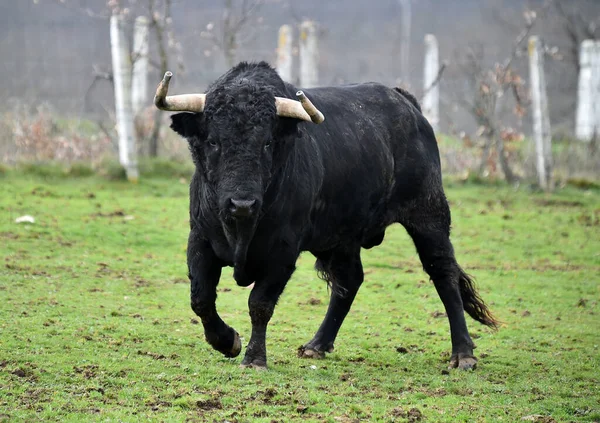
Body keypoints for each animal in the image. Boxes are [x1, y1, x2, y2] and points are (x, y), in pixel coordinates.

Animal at [159, 62, 496, 372]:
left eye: (267, 142)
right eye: (213, 141)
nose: (241, 203)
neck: (242, 229)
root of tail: (406, 103)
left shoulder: (282, 253)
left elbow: (260, 304)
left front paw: (254, 358)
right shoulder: (200, 240)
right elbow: (201, 298)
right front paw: (227, 341)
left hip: (429, 215)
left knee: (444, 274)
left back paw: (463, 354)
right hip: (342, 238)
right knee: (349, 281)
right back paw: (316, 345)